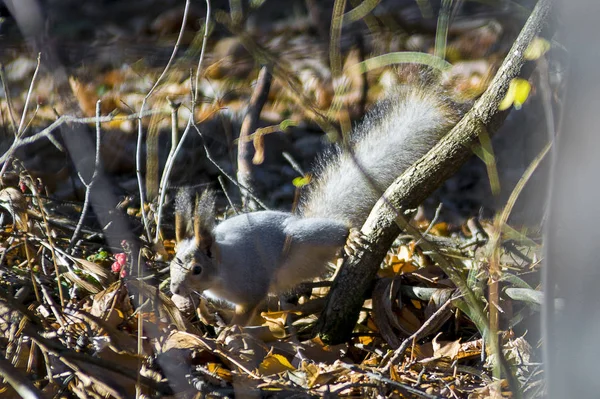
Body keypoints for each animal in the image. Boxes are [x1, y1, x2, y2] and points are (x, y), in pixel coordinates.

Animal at [171, 83, 462, 326]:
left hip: (303, 237)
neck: (221, 265)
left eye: (196, 269)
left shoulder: (250, 284)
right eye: (173, 263)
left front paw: (231, 332)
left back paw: (350, 237)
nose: (174, 289)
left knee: (335, 229)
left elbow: (248, 308)